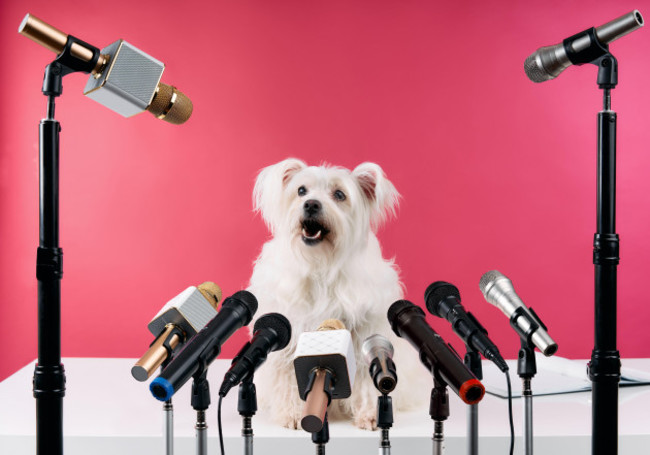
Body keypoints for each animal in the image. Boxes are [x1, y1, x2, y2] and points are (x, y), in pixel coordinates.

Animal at [246, 159, 418, 432]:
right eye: (301, 190)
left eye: (339, 195)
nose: (311, 204)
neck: (321, 265)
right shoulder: (290, 334)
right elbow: (289, 375)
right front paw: (293, 413)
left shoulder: (364, 335)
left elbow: (366, 378)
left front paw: (370, 413)